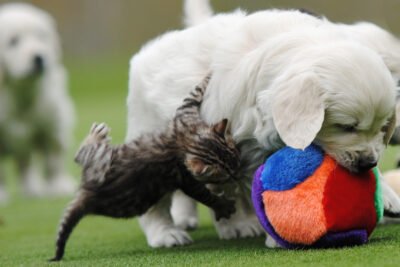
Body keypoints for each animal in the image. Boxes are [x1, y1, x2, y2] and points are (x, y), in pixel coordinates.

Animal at [0, 3, 75, 203]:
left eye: (42, 37)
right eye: (13, 41)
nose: (39, 58)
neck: (22, 89)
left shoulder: (51, 127)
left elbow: (53, 161)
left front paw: (57, 188)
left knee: (27, 164)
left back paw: (34, 190)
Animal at [51, 76, 242, 262]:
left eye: (236, 158)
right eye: (225, 176)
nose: (237, 175)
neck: (189, 141)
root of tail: (88, 195)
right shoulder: (187, 171)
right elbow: (204, 195)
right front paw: (223, 205)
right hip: (101, 162)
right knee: (81, 153)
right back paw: (95, 135)